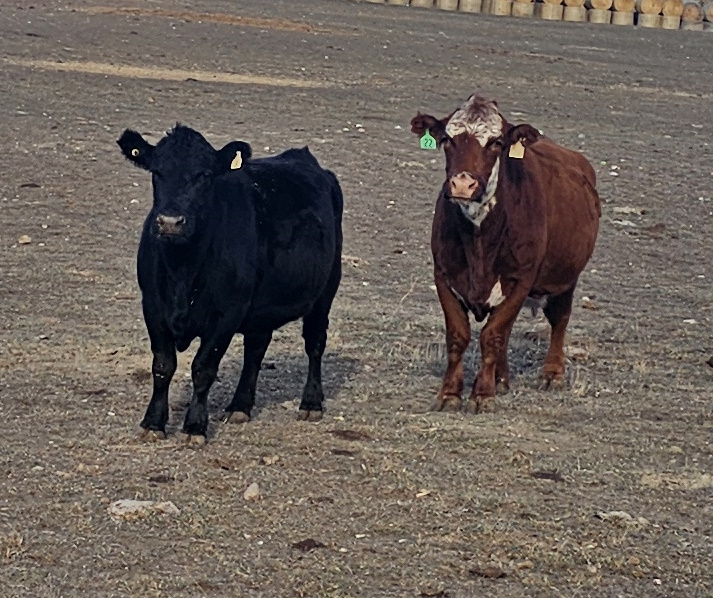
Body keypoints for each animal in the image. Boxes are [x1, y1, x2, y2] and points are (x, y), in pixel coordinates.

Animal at [117, 124, 343, 443]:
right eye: (157, 171)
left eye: (204, 175)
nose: (170, 222)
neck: (182, 270)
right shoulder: (153, 305)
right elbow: (163, 365)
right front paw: (153, 423)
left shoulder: (227, 314)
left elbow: (203, 368)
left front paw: (195, 427)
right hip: (262, 306)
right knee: (256, 349)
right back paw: (240, 406)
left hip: (325, 291)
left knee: (314, 343)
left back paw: (310, 403)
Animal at [411, 94, 600, 414]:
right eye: (447, 139)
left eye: (496, 142)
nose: (463, 184)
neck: (479, 240)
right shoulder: (444, 275)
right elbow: (459, 336)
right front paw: (450, 393)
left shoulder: (522, 279)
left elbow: (493, 335)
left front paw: (482, 394)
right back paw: (501, 378)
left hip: (565, 278)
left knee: (559, 318)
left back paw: (552, 374)